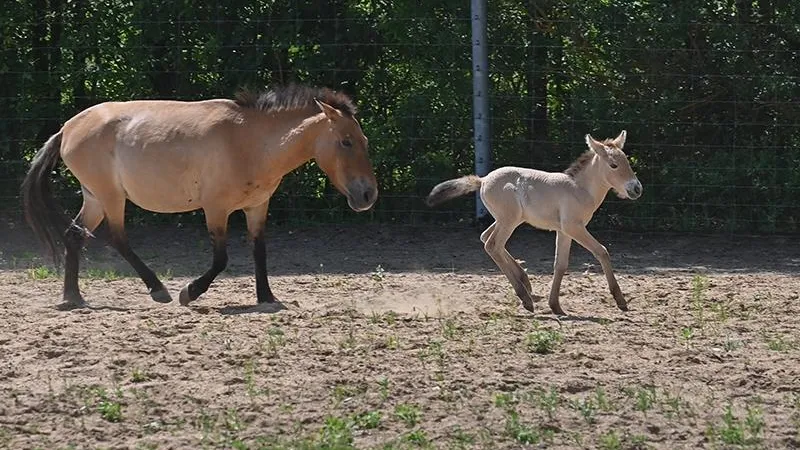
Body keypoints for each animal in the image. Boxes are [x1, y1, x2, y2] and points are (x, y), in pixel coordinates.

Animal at [21, 83, 378, 310]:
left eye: (364, 140)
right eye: (346, 141)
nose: (368, 194)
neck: (250, 143)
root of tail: (67, 129)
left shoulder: (257, 207)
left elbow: (260, 251)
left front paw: (267, 298)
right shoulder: (216, 209)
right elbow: (221, 259)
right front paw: (189, 292)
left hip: (94, 197)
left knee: (74, 235)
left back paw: (72, 298)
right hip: (111, 196)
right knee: (116, 237)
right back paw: (158, 290)